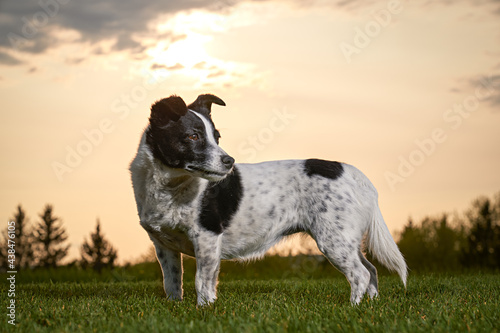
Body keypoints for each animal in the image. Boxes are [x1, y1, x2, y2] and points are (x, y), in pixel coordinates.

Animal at [131, 92, 408, 304]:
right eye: (193, 136)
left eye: (217, 137)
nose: (229, 161)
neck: (170, 187)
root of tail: (354, 173)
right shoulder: (163, 246)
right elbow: (172, 282)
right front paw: (175, 308)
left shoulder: (206, 237)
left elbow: (203, 281)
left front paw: (204, 309)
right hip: (347, 240)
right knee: (371, 270)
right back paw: (370, 305)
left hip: (334, 240)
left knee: (360, 274)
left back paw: (353, 307)